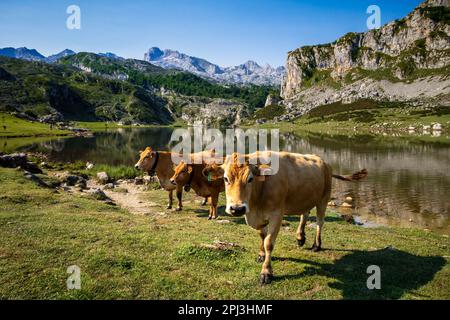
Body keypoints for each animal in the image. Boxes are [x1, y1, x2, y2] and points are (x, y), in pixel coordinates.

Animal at [202, 151, 368, 284]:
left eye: (250, 179)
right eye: (225, 179)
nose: (237, 208)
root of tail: (323, 161)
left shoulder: (276, 214)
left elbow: (269, 242)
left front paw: (266, 272)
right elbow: (262, 235)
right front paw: (261, 254)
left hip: (324, 198)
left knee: (320, 222)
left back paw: (316, 245)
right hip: (305, 198)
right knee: (304, 214)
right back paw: (300, 237)